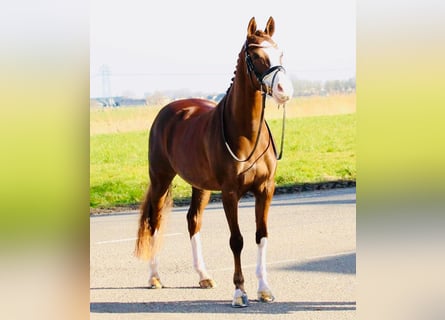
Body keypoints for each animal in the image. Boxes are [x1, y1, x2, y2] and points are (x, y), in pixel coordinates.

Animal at [135, 16, 294, 306]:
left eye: (280, 53)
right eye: (256, 55)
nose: (283, 91)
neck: (245, 133)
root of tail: (167, 110)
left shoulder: (265, 189)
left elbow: (261, 235)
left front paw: (264, 289)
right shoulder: (230, 193)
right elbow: (237, 240)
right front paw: (240, 292)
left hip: (201, 186)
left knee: (193, 220)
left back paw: (203, 275)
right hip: (161, 178)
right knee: (155, 221)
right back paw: (154, 277)